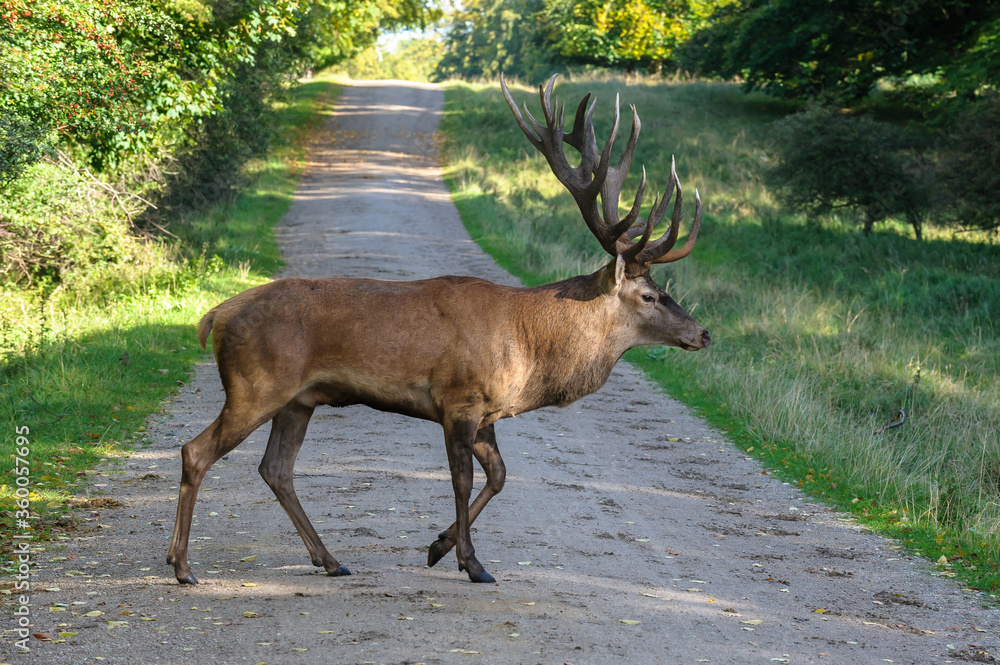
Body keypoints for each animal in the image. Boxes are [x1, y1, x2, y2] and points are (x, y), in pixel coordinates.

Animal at [166, 74, 710, 585]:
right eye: (649, 296)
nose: (704, 334)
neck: (530, 350)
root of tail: (215, 316)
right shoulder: (459, 399)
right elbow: (462, 481)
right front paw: (472, 563)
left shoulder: (488, 412)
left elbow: (500, 476)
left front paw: (437, 547)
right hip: (256, 385)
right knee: (196, 451)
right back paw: (182, 565)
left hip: (298, 400)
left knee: (275, 469)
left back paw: (330, 560)